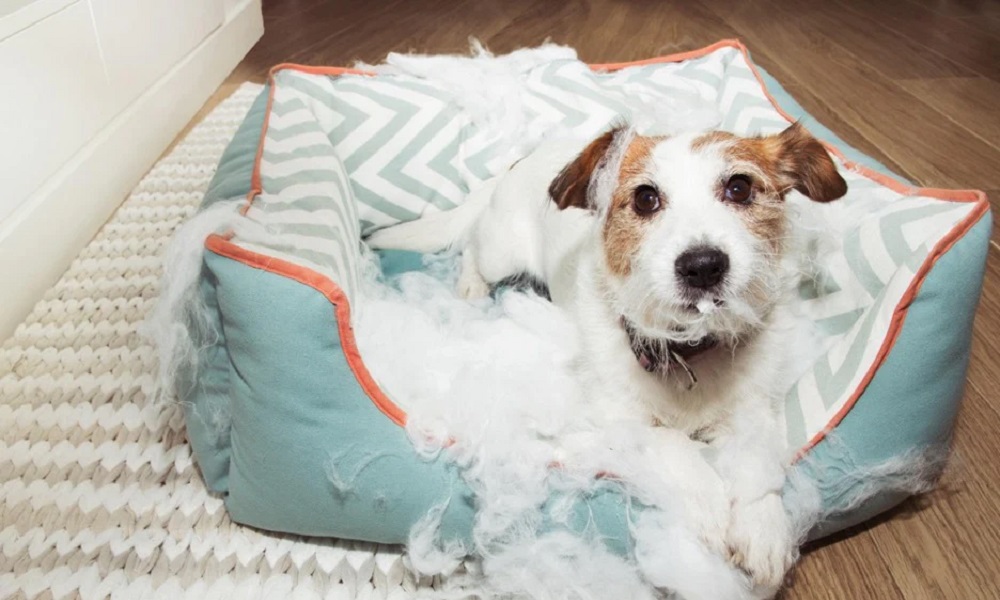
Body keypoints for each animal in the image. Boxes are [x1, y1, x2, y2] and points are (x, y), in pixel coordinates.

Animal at [372, 122, 848, 592]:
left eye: (739, 188)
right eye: (645, 198)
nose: (703, 265)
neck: (688, 350)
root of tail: (522, 160)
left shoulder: (755, 410)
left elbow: (756, 460)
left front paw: (763, 528)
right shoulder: (615, 417)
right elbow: (673, 443)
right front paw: (711, 507)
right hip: (499, 252)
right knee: (472, 249)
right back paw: (470, 286)